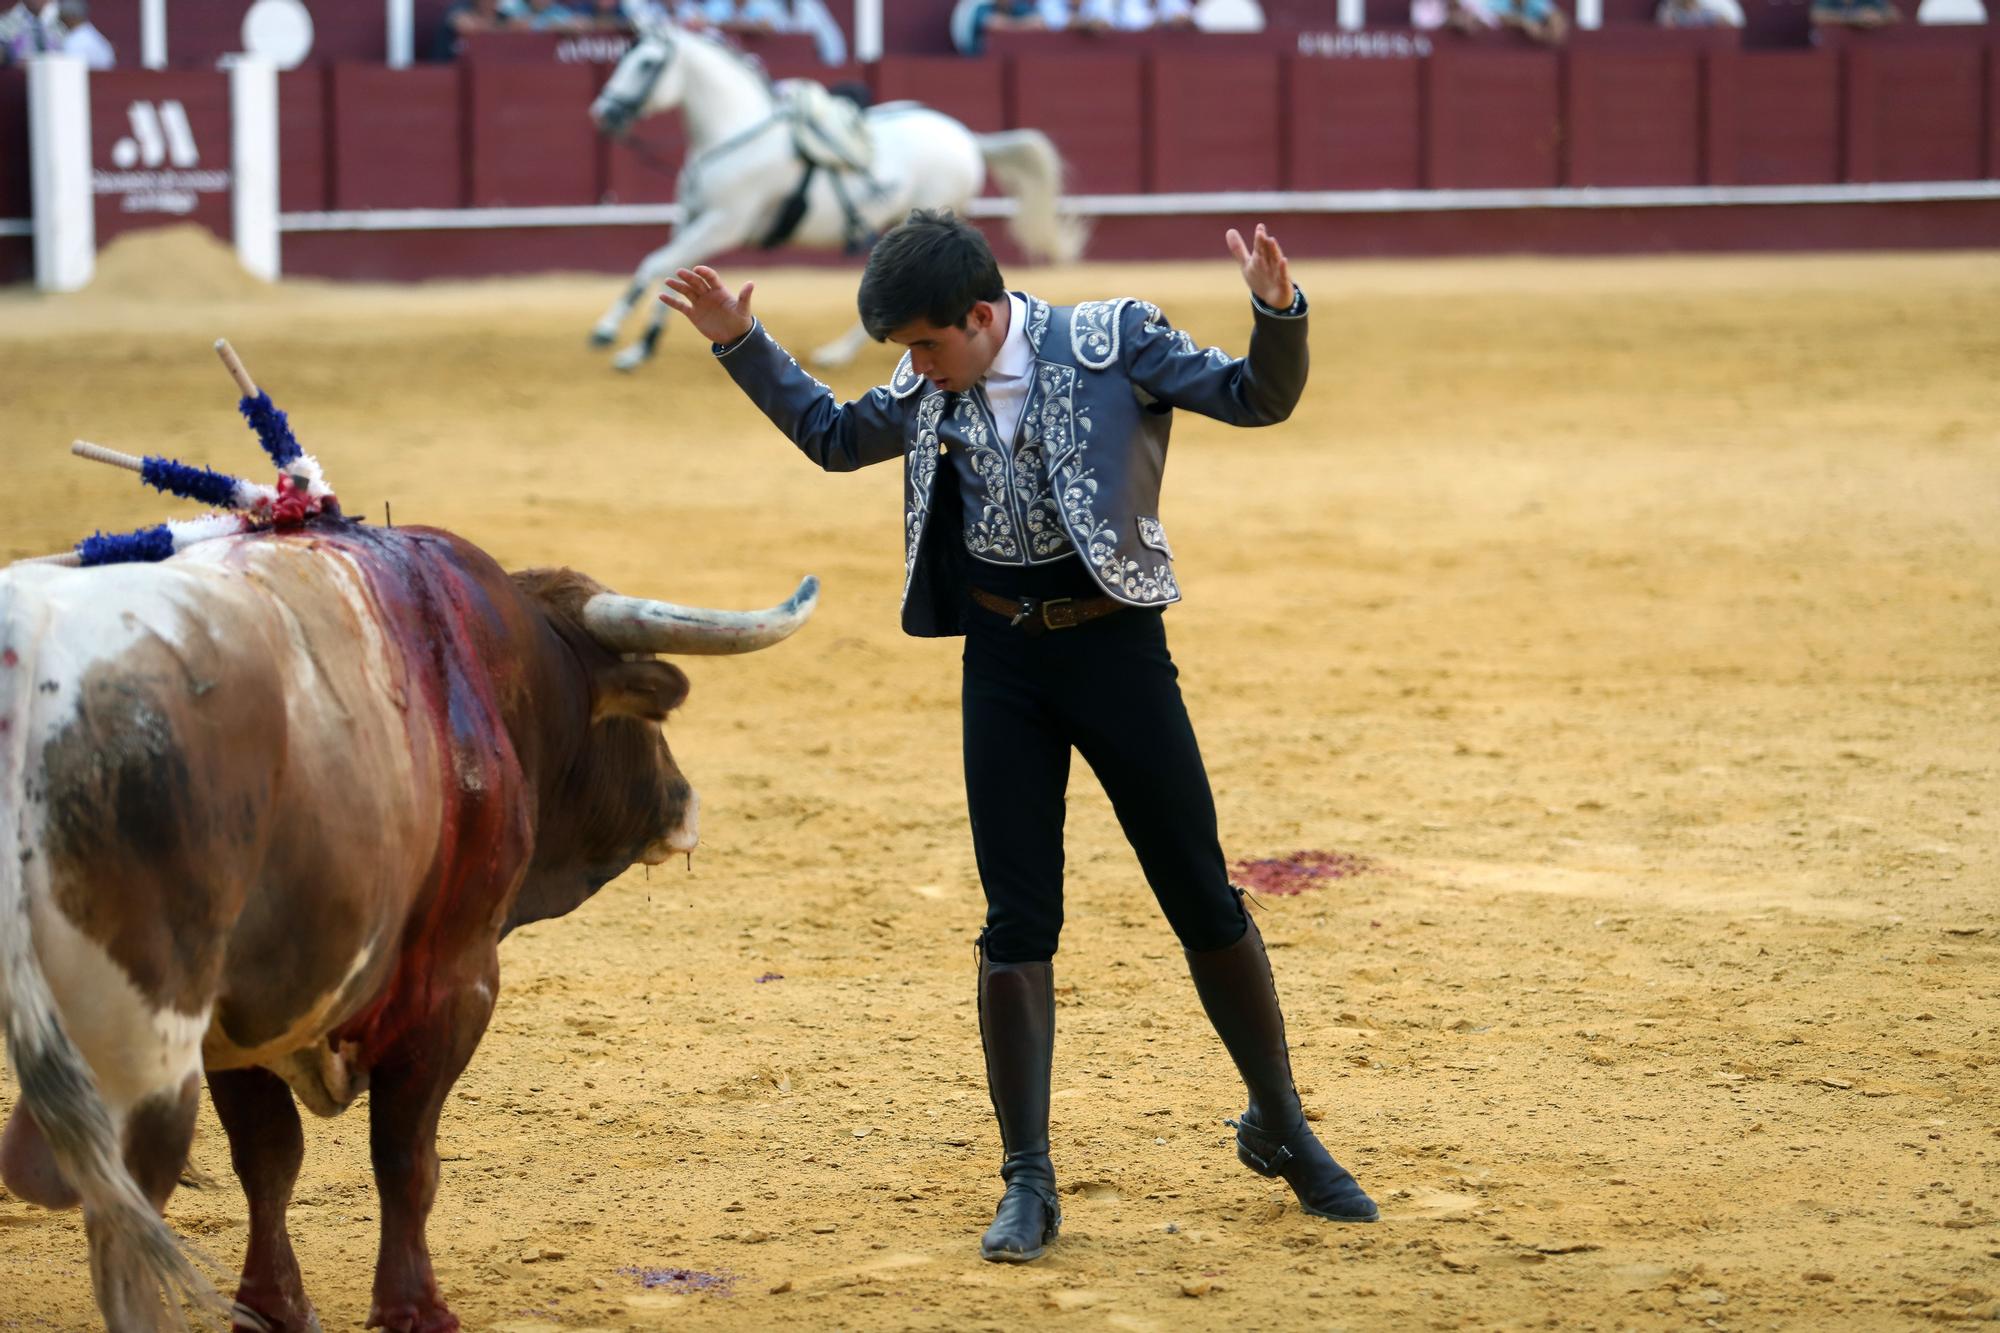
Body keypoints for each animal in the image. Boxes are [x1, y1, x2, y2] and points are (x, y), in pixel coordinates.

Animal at [0, 520, 820, 1328]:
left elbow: (269, 1157)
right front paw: (414, 1308)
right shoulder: (455, 980)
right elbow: (405, 1158)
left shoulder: (242, 1026)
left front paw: (274, 1309)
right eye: (647, 719)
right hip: (145, 1042)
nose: (685, 802)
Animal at [584, 15, 1088, 370]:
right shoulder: (689, 218)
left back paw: (836, 354)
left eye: (647, 63)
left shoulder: (725, 222)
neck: (733, 135)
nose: (604, 114)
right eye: (623, 59)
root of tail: (966, 135)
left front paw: (607, 333)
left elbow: (654, 264)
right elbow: (673, 271)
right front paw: (641, 348)